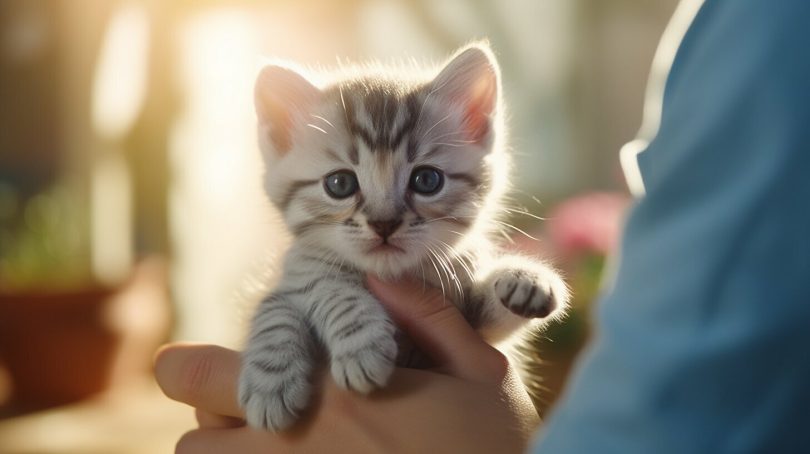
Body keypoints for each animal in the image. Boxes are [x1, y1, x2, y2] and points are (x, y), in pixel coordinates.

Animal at [240, 43, 568, 432]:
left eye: (427, 180)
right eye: (340, 184)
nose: (384, 223)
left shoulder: (475, 328)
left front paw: (525, 278)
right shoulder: (295, 275)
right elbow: (290, 302)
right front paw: (274, 379)